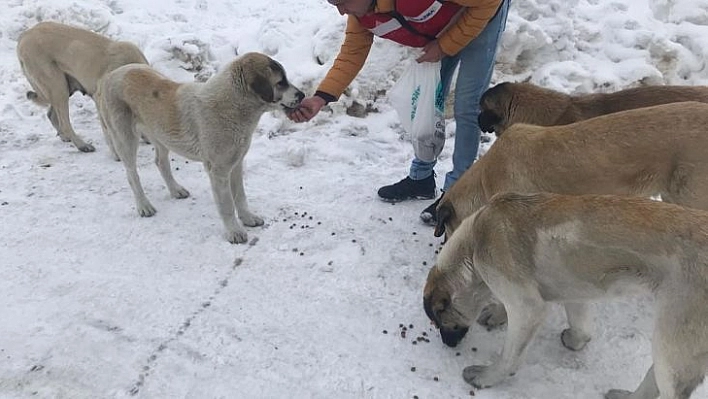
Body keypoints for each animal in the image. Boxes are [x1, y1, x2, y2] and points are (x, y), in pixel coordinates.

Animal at [16, 21, 148, 153]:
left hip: (62, 88)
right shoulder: (101, 100)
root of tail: (24, 35)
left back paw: (65, 137)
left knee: (52, 115)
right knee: (65, 123)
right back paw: (82, 145)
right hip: (58, 88)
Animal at [94, 52, 304, 244]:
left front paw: (248, 218)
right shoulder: (218, 171)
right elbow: (227, 205)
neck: (232, 106)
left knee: (160, 162)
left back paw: (175, 190)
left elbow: (240, 196)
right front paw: (234, 231)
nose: (302, 95)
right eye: (280, 82)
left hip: (161, 135)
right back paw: (144, 206)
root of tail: (111, 75)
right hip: (125, 138)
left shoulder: (236, 164)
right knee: (132, 174)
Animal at [424, 192, 708, 398]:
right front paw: (575, 339)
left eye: (439, 322)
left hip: (672, 346)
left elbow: (509, 355)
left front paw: (487, 377)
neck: (474, 244)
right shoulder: (574, 290)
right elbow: (581, 324)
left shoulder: (527, 307)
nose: (447, 345)